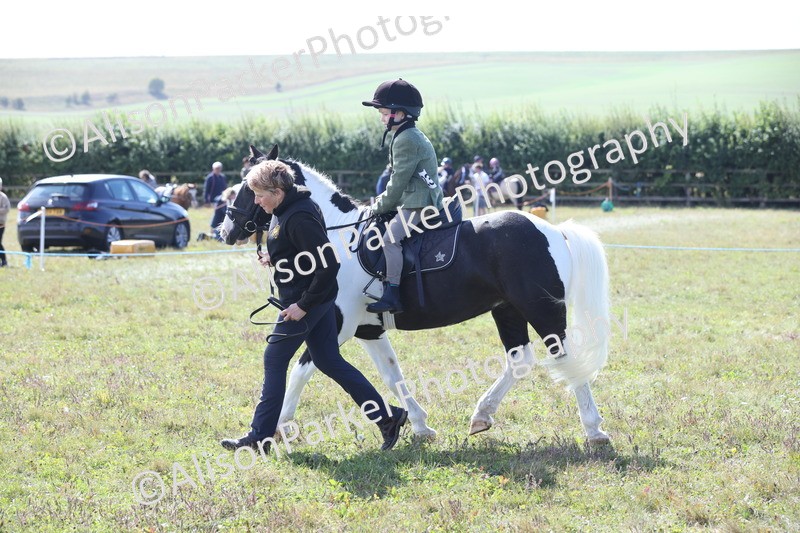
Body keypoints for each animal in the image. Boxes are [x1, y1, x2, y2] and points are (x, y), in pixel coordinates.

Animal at [219, 144, 612, 444]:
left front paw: (280, 427)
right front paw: (420, 426)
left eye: (244, 186)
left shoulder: (337, 326)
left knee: (565, 357)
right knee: (520, 361)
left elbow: (302, 371)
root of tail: (553, 230)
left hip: (541, 310)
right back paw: (481, 415)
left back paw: (594, 431)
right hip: (507, 309)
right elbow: (392, 376)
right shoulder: (368, 330)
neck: (334, 238)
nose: (225, 230)